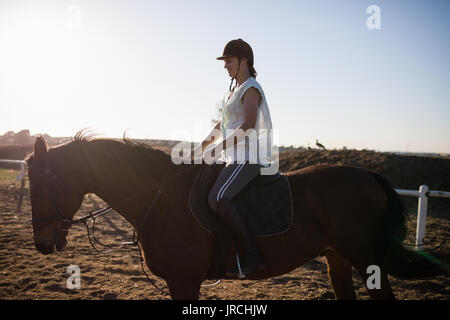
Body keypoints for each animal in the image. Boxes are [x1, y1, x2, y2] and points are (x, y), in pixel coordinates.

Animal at [27, 131, 446, 298]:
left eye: (42, 185)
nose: (43, 244)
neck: (159, 197)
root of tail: (369, 176)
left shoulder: (183, 282)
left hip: (366, 260)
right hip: (338, 260)